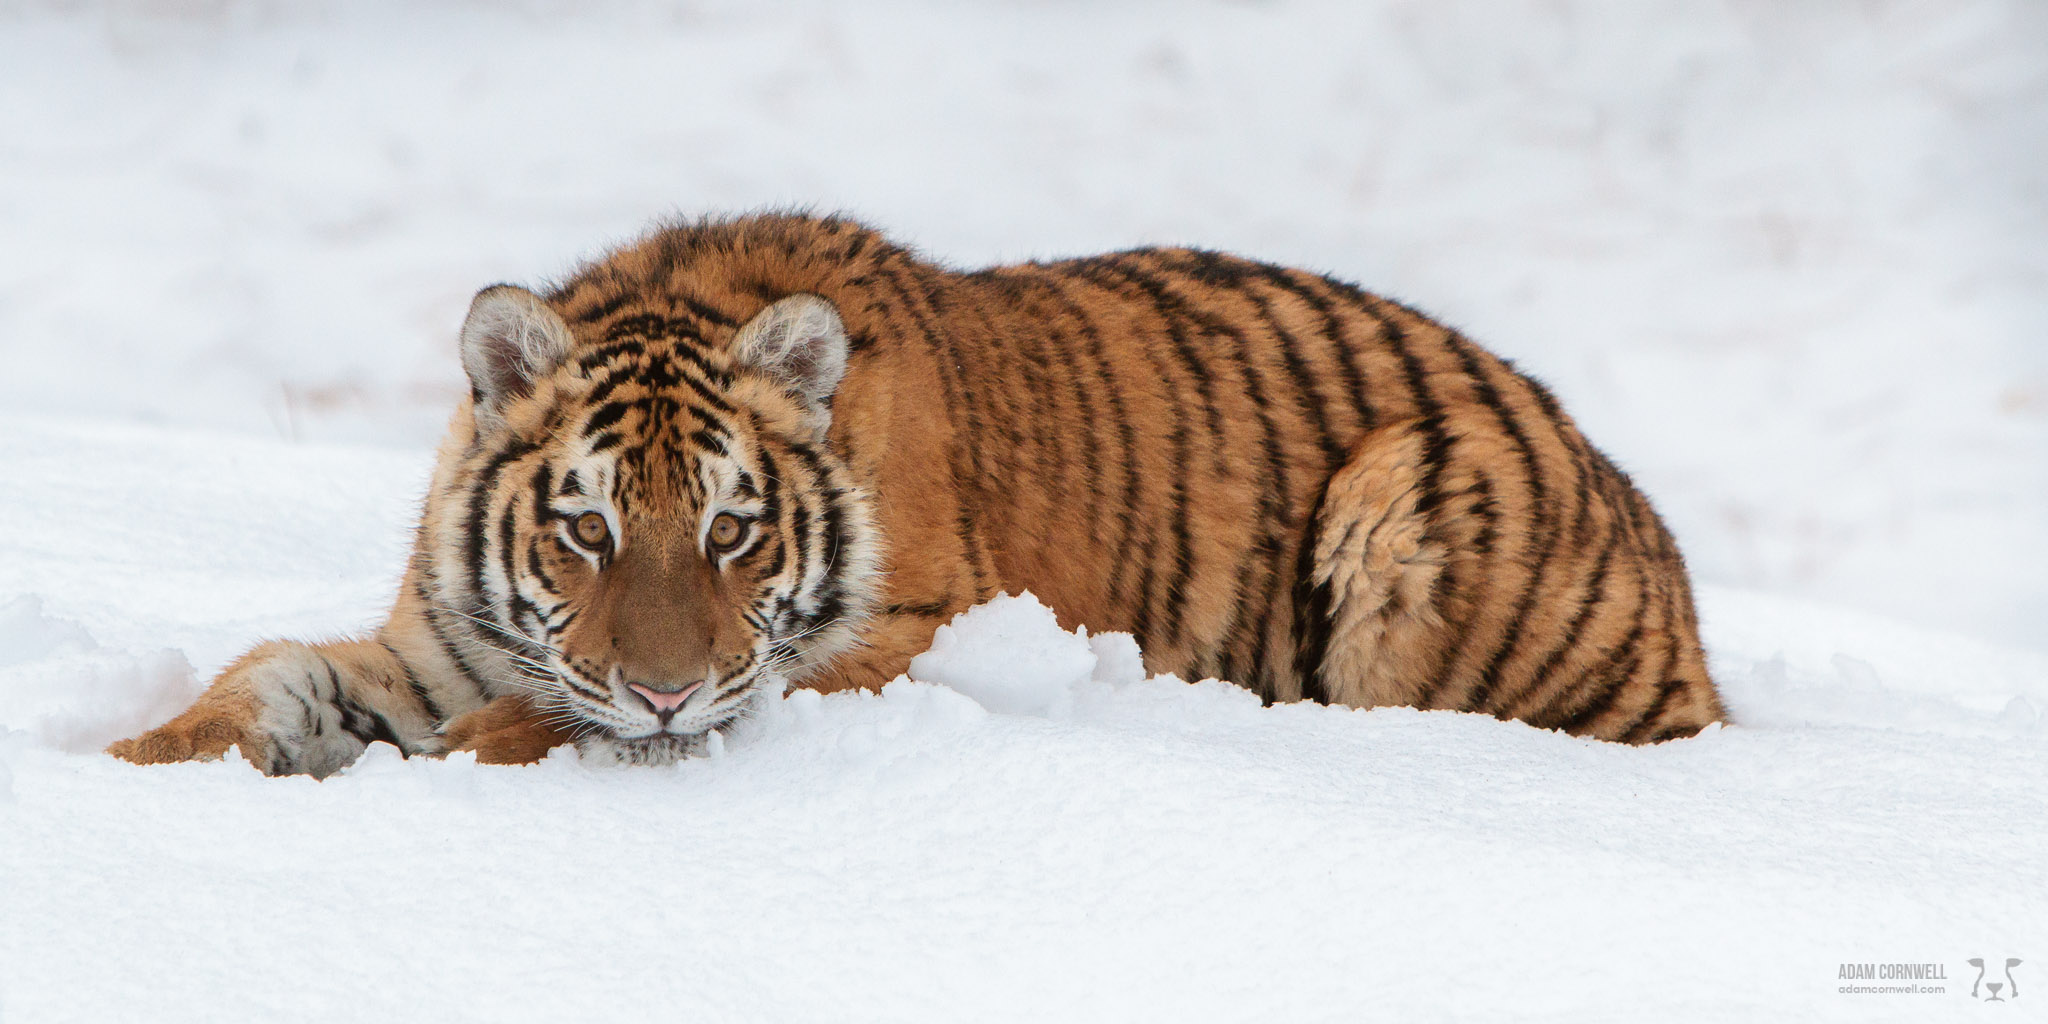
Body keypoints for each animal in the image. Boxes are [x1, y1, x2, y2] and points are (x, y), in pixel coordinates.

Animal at [103, 214, 1720, 774]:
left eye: (730, 532)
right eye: (587, 531)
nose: (664, 692)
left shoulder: (921, 635)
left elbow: (608, 714)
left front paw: (487, 753)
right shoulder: (440, 641)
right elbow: (268, 678)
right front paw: (130, 764)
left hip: (1410, 494)